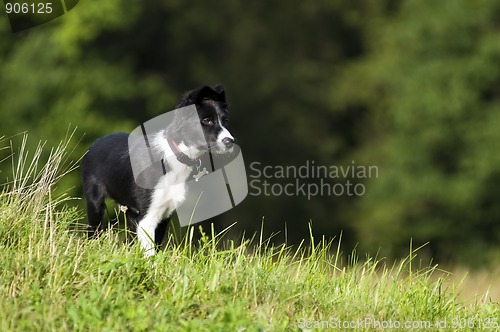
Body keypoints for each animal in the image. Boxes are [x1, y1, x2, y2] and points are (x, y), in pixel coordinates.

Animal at [81, 84, 235, 255]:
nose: (230, 142)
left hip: (130, 213)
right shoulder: (147, 217)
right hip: (95, 202)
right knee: (93, 231)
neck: (176, 156)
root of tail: (95, 143)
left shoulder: (164, 214)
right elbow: (149, 252)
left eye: (225, 121)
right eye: (207, 120)